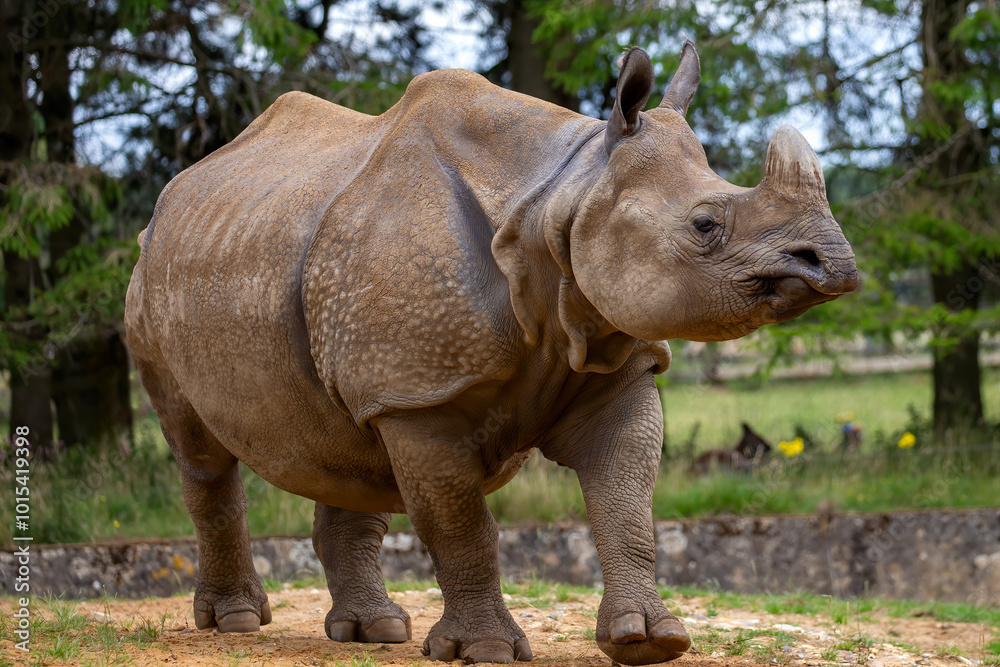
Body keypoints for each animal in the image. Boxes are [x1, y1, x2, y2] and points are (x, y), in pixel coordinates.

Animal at [124, 42, 857, 665]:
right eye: (706, 225)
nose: (836, 265)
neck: (562, 197)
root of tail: (178, 189)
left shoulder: (609, 360)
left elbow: (627, 501)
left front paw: (650, 640)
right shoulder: (421, 394)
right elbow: (461, 525)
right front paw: (485, 651)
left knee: (348, 441)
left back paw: (376, 632)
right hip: (155, 278)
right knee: (202, 452)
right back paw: (237, 622)